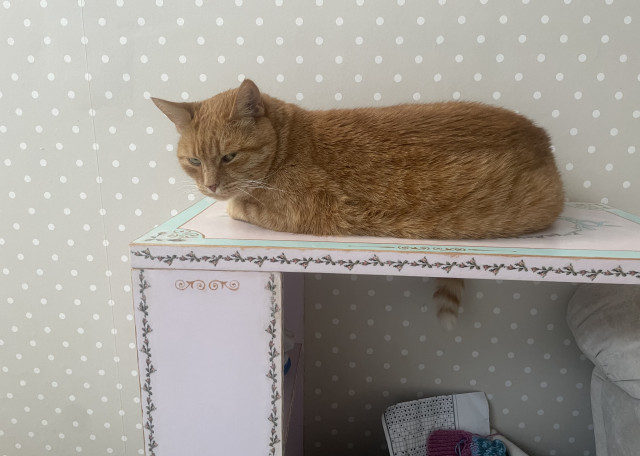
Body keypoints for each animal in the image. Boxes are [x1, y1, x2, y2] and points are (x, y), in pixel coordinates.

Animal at [152, 79, 564, 330]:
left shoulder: (296, 212)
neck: (289, 142)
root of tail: (542, 138)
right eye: (194, 161)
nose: (209, 186)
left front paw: (233, 202)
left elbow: (240, 206)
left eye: (229, 157)